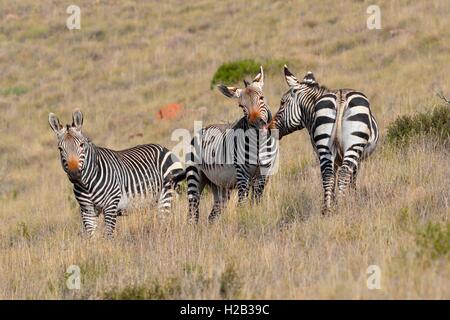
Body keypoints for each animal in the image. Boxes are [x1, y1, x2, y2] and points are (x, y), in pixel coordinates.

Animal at [48, 110, 184, 238]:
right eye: (60, 149)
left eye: (81, 145)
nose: (74, 174)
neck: (87, 185)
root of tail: (163, 148)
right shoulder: (87, 210)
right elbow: (92, 238)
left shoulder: (110, 206)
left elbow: (109, 235)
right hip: (152, 199)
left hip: (165, 194)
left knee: (164, 223)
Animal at [183, 67, 278, 222]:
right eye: (241, 106)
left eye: (262, 98)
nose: (257, 124)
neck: (259, 143)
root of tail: (201, 130)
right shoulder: (242, 174)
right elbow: (242, 203)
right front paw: (246, 219)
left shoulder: (264, 173)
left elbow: (257, 200)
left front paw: (257, 215)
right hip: (194, 177)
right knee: (193, 211)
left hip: (219, 185)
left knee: (213, 215)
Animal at [272, 65, 378, 215]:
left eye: (282, 103)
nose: (270, 127)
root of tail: (341, 97)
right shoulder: (355, 157)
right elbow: (351, 178)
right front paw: (351, 198)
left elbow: (336, 178)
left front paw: (337, 201)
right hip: (353, 145)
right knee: (344, 173)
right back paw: (342, 206)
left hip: (325, 146)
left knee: (328, 174)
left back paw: (327, 209)